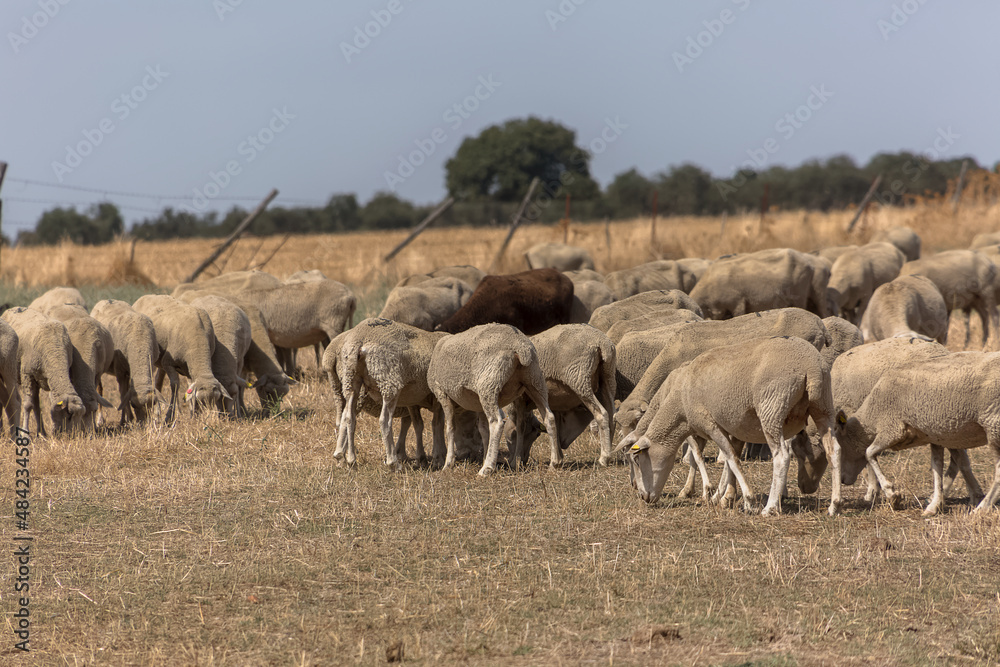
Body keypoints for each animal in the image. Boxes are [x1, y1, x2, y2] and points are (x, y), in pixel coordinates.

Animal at [2, 306, 85, 436]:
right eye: (69, 416)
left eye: (81, 416)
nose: (74, 437)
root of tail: (12, 308)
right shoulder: (27, 375)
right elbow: (27, 405)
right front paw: (25, 434)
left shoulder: (50, 379)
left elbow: (41, 406)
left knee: (36, 404)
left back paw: (42, 433)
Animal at [334, 320, 448, 468]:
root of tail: (360, 338)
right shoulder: (436, 396)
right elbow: (437, 424)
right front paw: (439, 457)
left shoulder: (412, 399)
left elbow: (419, 424)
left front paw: (423, 458)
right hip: (389, 381)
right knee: (384, 420)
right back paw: (393, 463)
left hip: (351, 378)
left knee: (348, 416)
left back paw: (349, 459)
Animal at [426, 324, 560, 474]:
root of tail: (520, 346)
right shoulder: (477, 403)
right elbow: (484, 430)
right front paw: (485, 456)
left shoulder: (442, 393)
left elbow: (450, 428)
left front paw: (448, 463)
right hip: (535, 380)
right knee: (549, 417)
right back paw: (554, 463)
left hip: (489, 384)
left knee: (496, 423)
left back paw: (487, 469)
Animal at [616, 340, 836, 516]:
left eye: (636, 460)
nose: (642, 495)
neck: (678, 400)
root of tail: (811, 365)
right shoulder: (733, 426)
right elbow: (730, 459)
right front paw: (725, 497)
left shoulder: (709, 424)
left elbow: (724, 458)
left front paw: (745, 499)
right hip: (823, 406)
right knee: (833, 450)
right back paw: (835, 505)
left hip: (772, 410)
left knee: (781, 455)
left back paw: (771, 507)